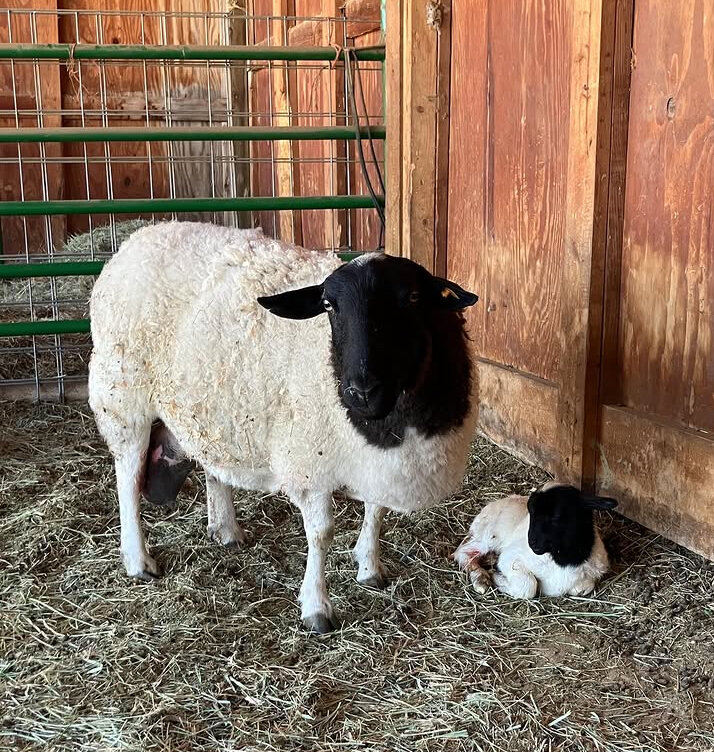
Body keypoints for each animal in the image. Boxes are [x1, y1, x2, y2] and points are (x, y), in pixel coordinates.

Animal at [88, 221, 479, 633]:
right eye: (328, 305)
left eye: (414, 298)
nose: (360, 390)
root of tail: (142, 235)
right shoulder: (309, 461)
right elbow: (321, 533)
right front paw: (317, 607)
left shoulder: (378, 462)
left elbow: (377, 511)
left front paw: (370, 567)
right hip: (122, 400)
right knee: (127, 480)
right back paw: (138, 559)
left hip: (213, 406)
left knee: (212, 465)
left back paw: (226, 530)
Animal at [453, 482, 617, 599]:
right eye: (531, 513)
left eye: (556, 516)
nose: (532, 542)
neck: (563, 560)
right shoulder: (512, 556)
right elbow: (528, 587)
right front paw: (497, 577)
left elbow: (582, 589)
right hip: (490, 536)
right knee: (462, 551)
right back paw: (480, 579)